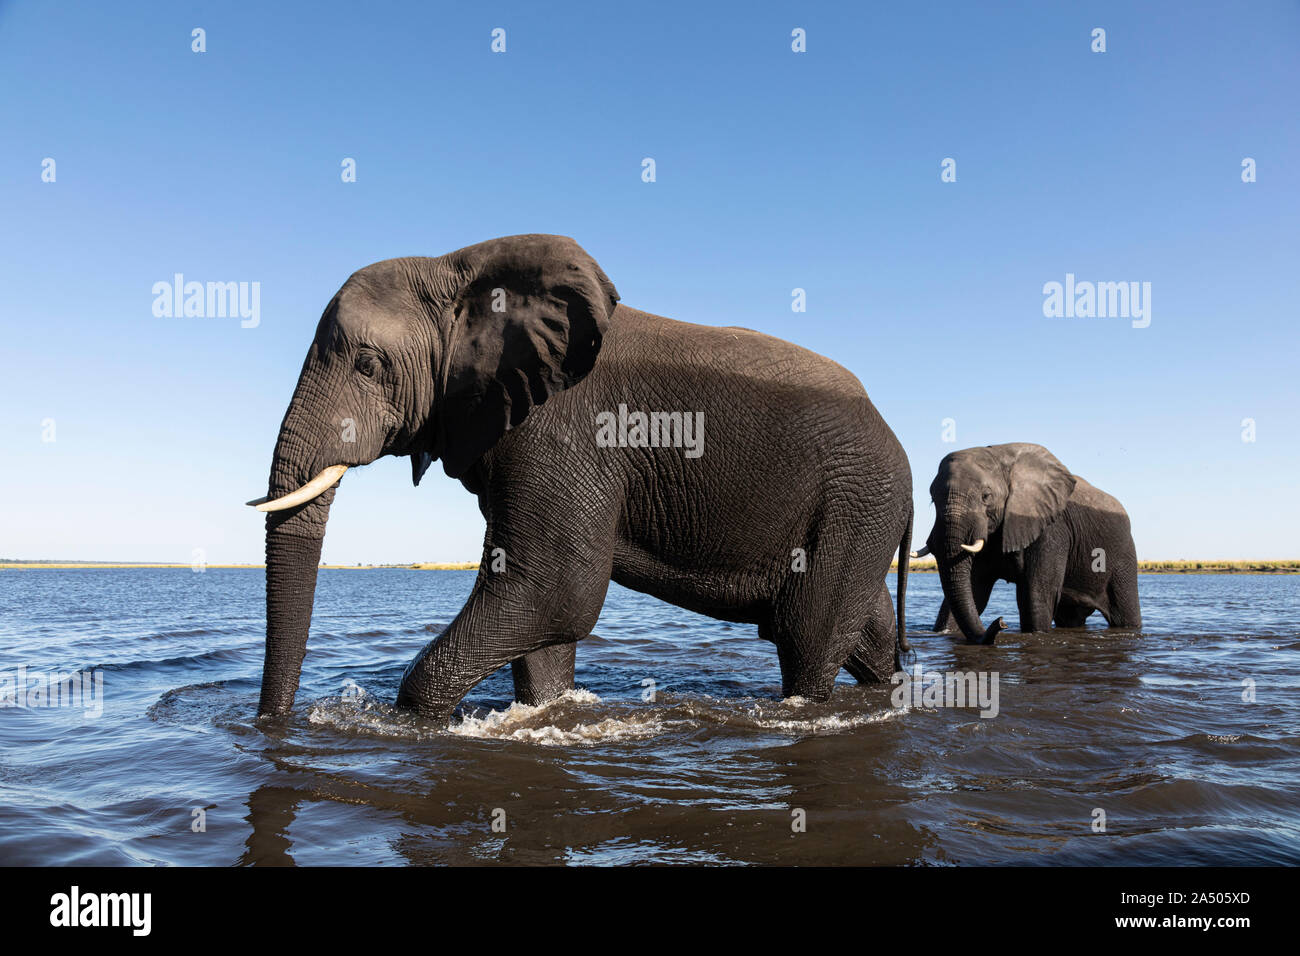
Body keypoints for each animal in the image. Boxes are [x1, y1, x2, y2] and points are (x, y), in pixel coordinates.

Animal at [245, 235, 915, 723]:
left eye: (367, 364)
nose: (273, 726)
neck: (457, 270)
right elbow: (541, 613)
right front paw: (547, 712)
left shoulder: (560, 433)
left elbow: (556, 588)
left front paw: (412, 720)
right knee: (866, 632)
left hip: (857, 498)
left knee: (807, 635)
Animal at [909, 442, 1144, 642]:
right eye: (932, 499)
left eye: (986, 496)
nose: (1001, 623)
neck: (1000, 457)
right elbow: (975, 591)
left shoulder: (1051, 528)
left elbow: (1035, 594)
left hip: (1122, 554)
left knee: (1124, 613)